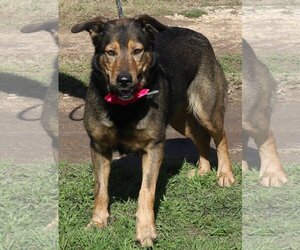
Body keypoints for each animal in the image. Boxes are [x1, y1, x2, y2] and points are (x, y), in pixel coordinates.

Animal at [71, 15, 236, 246]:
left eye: (137, 51)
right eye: (110, 52)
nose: (124, 80)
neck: (124, 106)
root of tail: (198, 35)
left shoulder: (154, 147)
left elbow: (146, 192)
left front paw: (146, 231)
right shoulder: (99, 146)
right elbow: (100, 189)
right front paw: (97, 222)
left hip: (207, 110)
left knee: (221, 137)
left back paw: (225, 174)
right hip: (179, 118)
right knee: (201, 137)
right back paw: (203, 170)